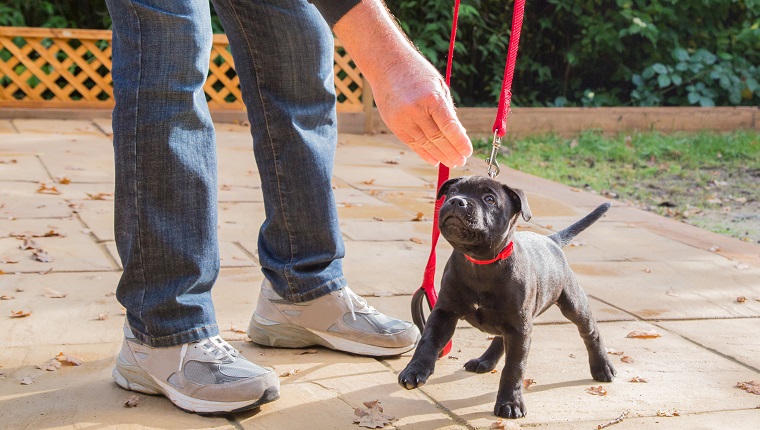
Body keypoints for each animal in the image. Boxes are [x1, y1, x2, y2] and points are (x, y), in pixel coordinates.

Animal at [398, 174, 616, 416]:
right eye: (453, 191)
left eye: (489, 199)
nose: (457, 201)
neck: (480, 263)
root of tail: (551, 240)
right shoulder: (444, 312)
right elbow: (428, 340)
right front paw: (415, 370)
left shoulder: (519, 328)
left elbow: (514, 367)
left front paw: (510, 403)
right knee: (500, 337)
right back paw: (485, 360)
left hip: (572, 303)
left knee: (590, 332)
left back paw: (602, 367)